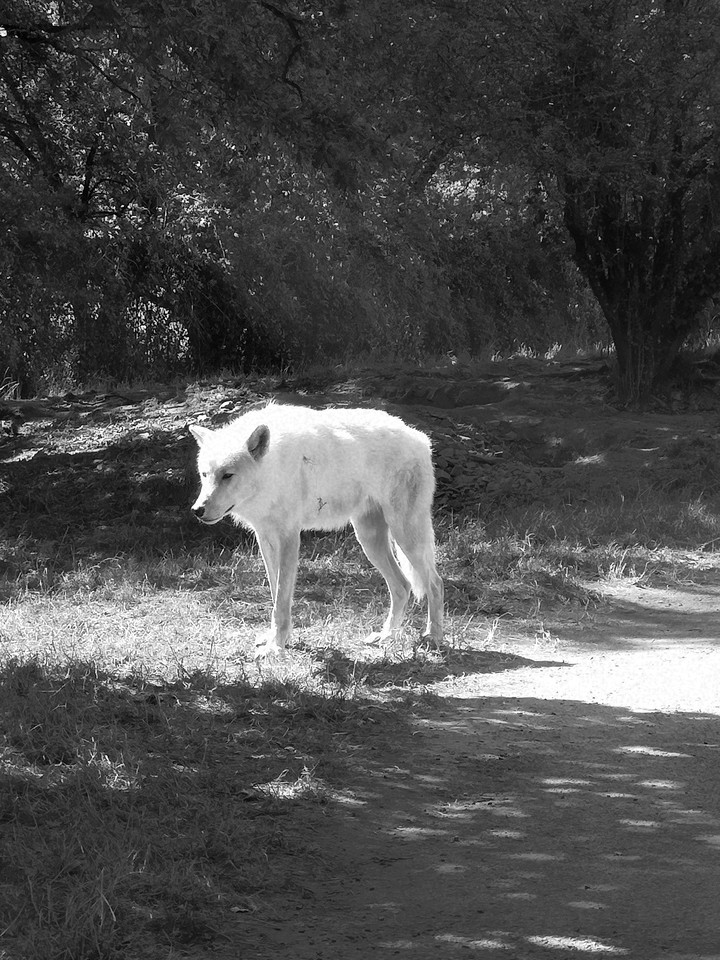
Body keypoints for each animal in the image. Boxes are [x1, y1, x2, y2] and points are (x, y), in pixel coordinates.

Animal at [190, 403, 444, 658]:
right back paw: (386, 635)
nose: (197, 510)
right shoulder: (266, 539)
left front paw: (275, 647)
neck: (273, 468)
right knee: (403, 586)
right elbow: (274, 594)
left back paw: (433, 636)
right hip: (369, 540)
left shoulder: (289, 538)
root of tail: (419, 437)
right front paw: (275, 639)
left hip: (405, 536)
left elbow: (281, 601)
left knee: (435, 583)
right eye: (204, 474)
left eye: (227, 475)